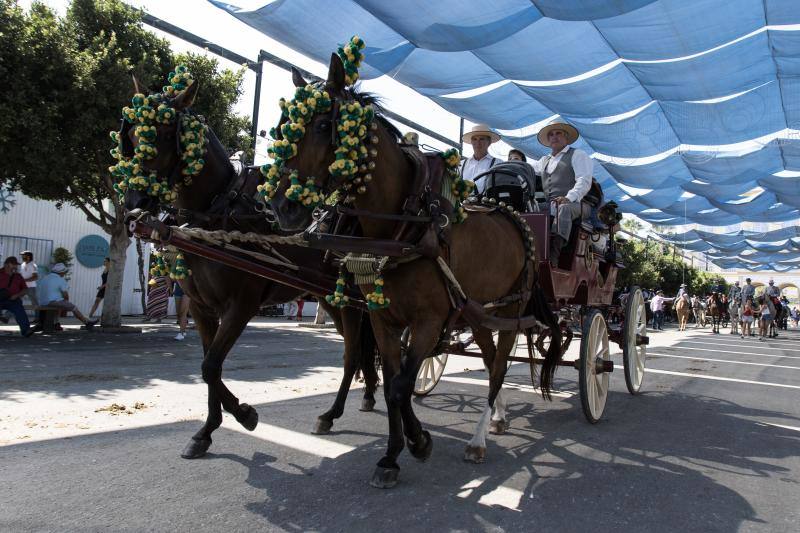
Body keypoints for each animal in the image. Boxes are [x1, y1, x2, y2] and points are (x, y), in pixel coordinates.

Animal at [121, 77, 378, 460]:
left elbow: (210, 366)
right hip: (330, 299)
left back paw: (332, 413)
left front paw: (245, 415)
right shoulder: (201, 308)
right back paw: (368, 395)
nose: (134, 203)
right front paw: (207, 431)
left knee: (353, 356)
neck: (219, 210)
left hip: (351, 301)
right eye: (131, 135)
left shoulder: (241, 306)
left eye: (166, 133)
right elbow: (209, 367)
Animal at [268, 54, 564, 486]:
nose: (281, 206)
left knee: (498, 368)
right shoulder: (382, 318)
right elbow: (394, 382)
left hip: (512, 307)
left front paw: (418, 442)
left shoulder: (429, 320)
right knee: (492, 358)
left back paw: (477, 440)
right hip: (480, 313)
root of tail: (511, 211)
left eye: (323, 126)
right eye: (285, 125)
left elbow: (400, 386)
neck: (404, 226)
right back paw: (498, 418)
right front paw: (393, 454)